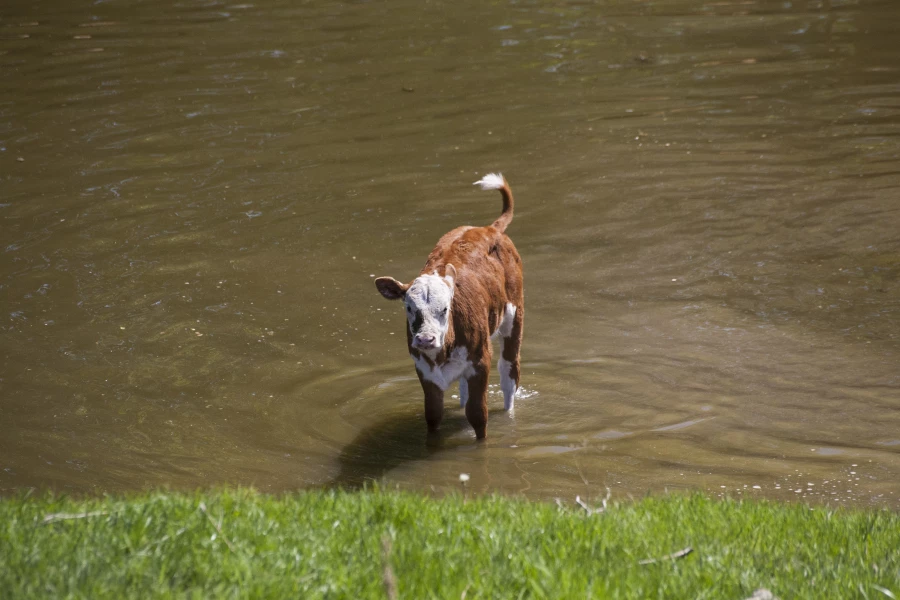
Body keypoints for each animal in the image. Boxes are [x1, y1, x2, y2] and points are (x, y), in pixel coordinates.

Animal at [375, 173, 524, 440]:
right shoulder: (424, 369)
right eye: (409, 308)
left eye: (445, 308)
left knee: (509, 373)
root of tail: (487, 228)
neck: (443, 353)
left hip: (514, 317)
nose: (425, 339)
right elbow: (433, 415)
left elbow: (478, 416)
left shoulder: (480, 361)